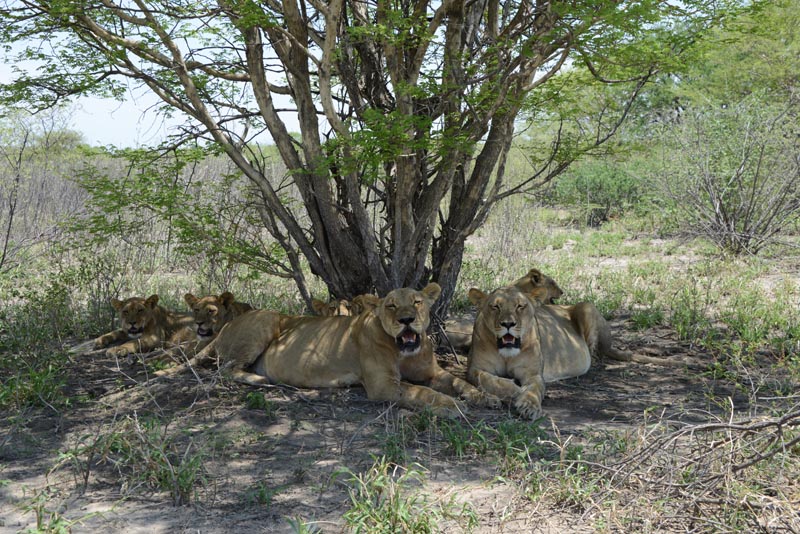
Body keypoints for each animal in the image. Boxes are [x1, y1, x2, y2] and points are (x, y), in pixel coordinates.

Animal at [156, 283, 500, 416]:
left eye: (417, 302)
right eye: (390, 306)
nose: (406, 320)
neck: (406, 350)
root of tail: (226, 326)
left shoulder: (433, 371)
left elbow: (459, 382)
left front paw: (486, 397)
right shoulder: (383, 386)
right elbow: (422, 393)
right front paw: (452, 406)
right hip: (264, 323)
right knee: (226, 370)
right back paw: (262, 380)